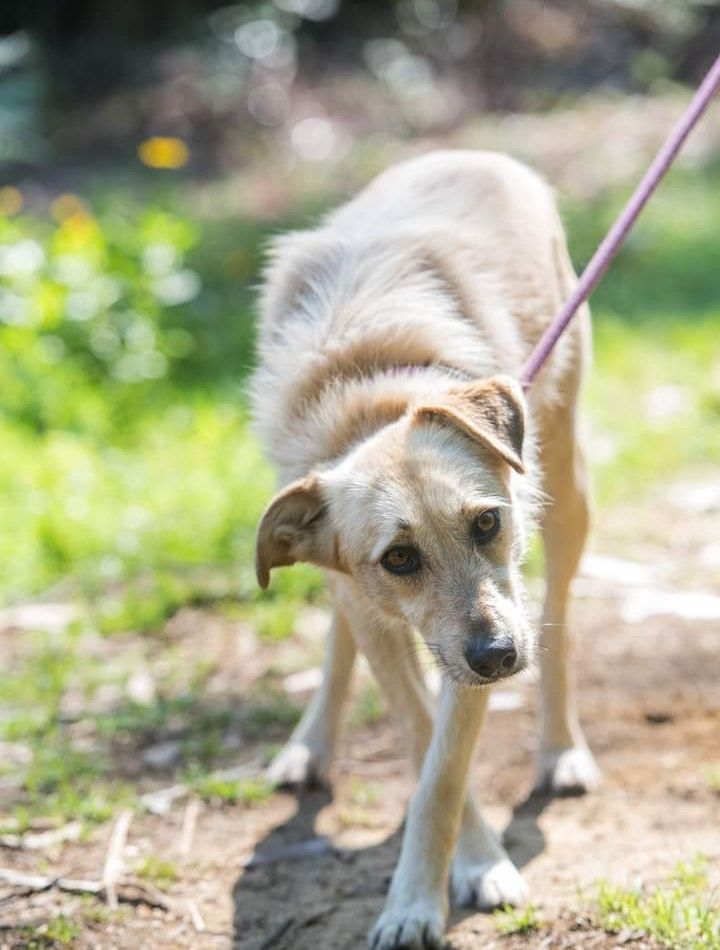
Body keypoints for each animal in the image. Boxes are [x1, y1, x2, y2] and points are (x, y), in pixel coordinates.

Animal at [250, 151, 600, 950]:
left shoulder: (480, 632)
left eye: (486, 523)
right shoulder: (376, 602)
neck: (370, 396)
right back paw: (310, 745)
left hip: (566, 490)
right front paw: (454, 871)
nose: (500, 658)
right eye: (400, 560)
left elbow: (442, 771)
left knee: (561, 617)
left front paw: (441, 886)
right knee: (342, 637)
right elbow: (418, 740)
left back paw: (559, 749)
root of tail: (474, 154)